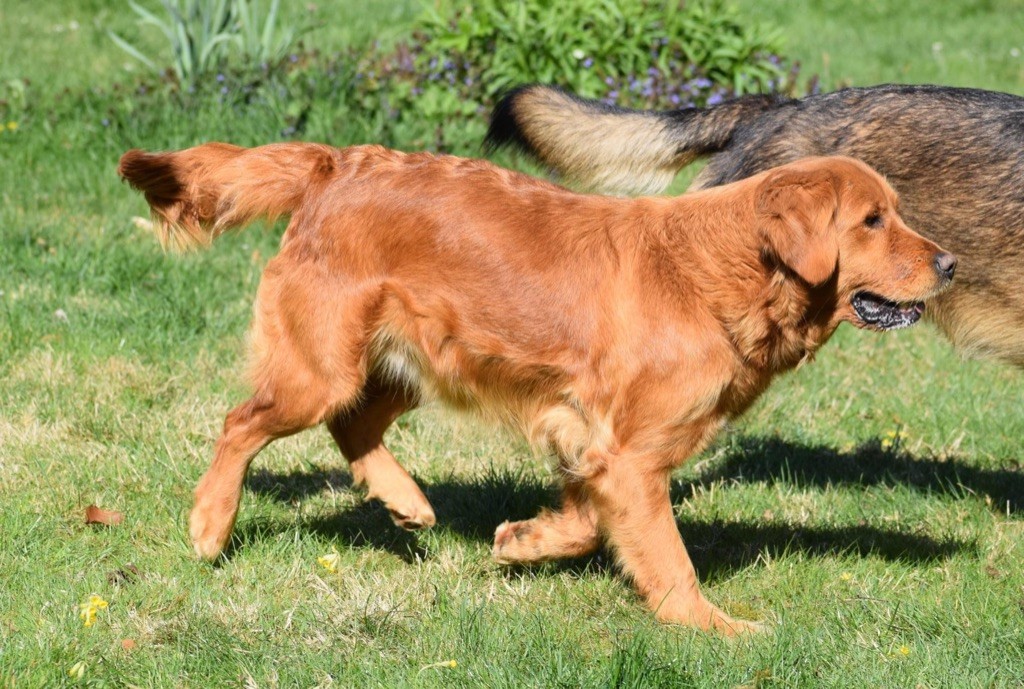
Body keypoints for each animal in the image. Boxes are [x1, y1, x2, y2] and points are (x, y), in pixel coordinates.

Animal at [117, 143, 950, 634]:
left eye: (895, 212)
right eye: (872, 220)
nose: (950, 264)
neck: (721, 271)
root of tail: (336, 163)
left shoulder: (589, 438)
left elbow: (583, 522)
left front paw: (523, 542)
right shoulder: (631, 454)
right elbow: (670, 559)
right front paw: (712, 628)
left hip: (409, 360)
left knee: (353, 427)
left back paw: (406, 500)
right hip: (319, 370)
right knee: (242, 422)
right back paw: (210, 523)